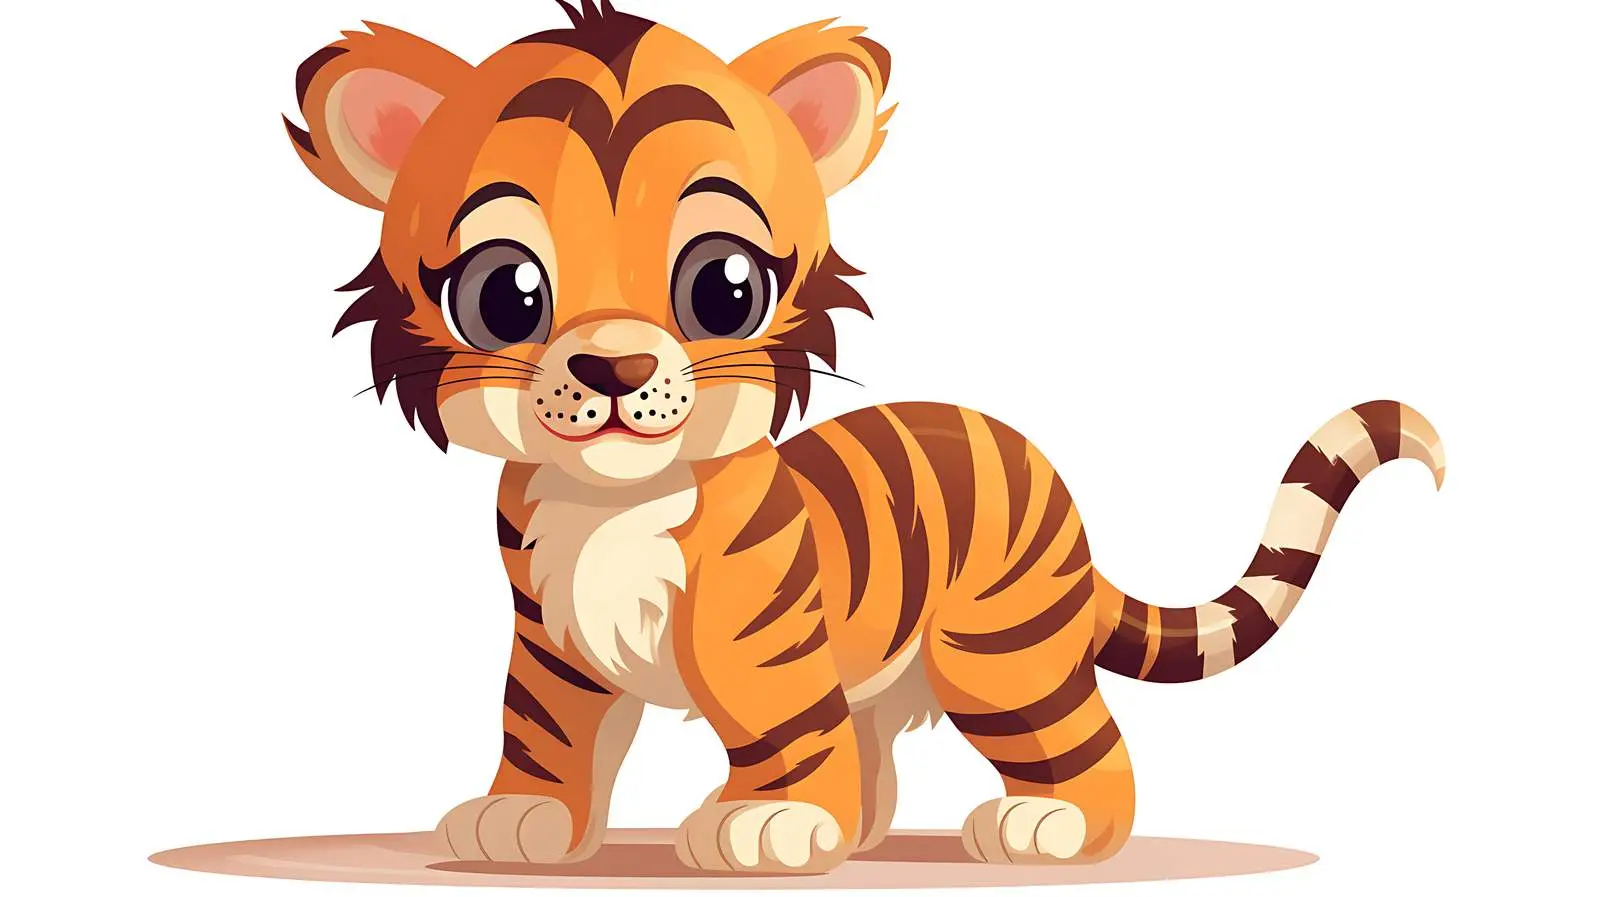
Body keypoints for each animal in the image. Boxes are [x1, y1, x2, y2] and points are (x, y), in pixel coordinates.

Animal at [283, 0, 1444, 874]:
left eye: (723, 288)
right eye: (505, 294)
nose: (613, 368)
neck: (610, 501)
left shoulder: (761, 641)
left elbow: (783, 734)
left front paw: (769, 824)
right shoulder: (549, 633)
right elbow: (545, 727)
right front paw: (522, 817)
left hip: (998, 651)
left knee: (1085, 749)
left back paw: (1047, 825)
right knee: (877, 747)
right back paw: (872, 831)